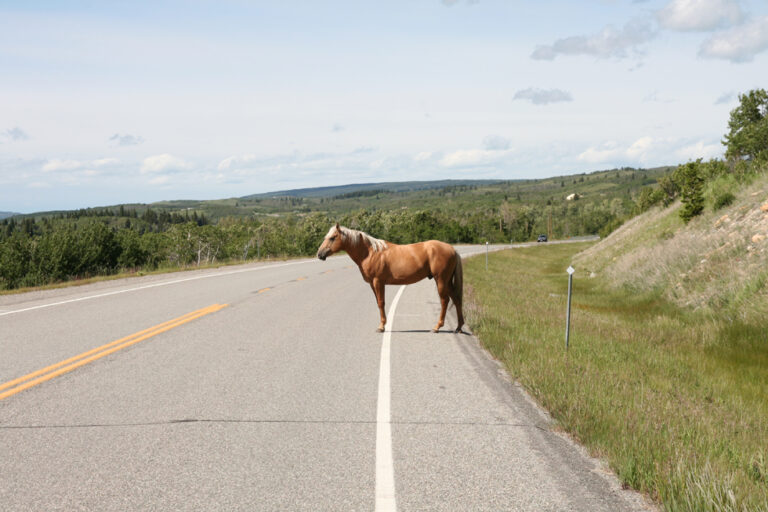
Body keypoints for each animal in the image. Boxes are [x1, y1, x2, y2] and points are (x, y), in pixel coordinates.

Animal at [316, 223, 464, 334]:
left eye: (332, 238)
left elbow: (381, 303)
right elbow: (378, 302)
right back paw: (458, 327)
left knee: (445, 300)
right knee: (456, 299)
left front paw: (381, 327)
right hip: (447, 281)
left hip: (441, 280)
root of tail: (452, 249)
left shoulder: (378, 282)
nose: (319, 254)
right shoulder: (372, 284)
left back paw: (437, 327)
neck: (370, 253)